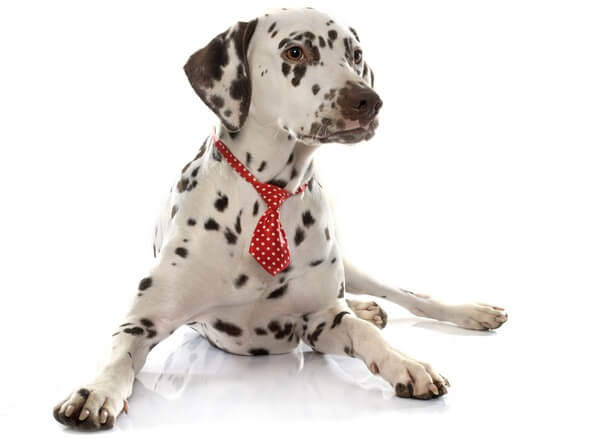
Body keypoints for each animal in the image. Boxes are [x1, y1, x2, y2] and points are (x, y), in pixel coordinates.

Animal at [54, 7, 508, 432]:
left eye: (355, 55)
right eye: (295, 52)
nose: (368, 100)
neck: (267, 198)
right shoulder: (142, 323)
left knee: (409, 295)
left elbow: (367, 334)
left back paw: (467, 311)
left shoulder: (324, 321)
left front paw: (407, 363)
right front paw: (95, 392)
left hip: (353, 269)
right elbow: (116, 359)